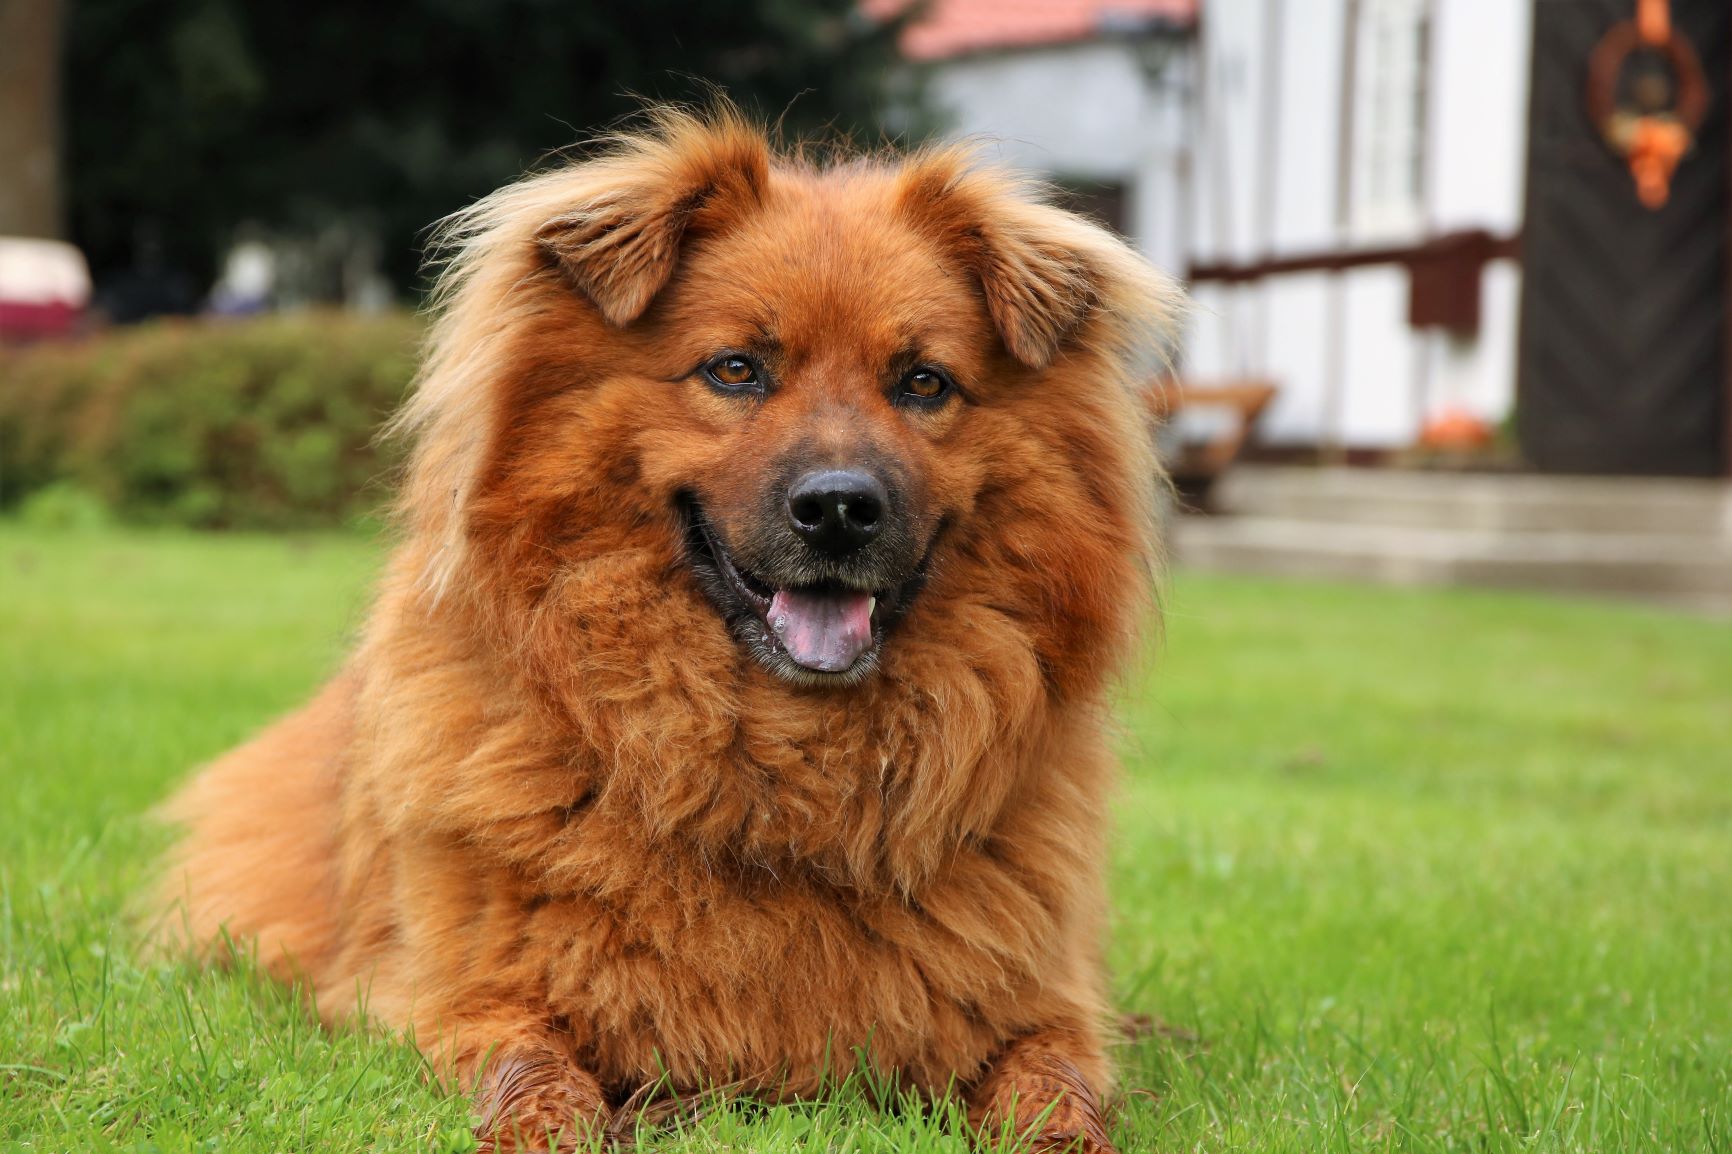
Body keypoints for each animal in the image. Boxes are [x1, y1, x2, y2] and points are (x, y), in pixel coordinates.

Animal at [159, 103, 1177, 1143]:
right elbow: (532, 1074)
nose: (839, 509)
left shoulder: (1041, 1011)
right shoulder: (457, 996)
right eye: (735, 370)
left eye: (925, 383)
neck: (785, 781)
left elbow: (1054, 1089)